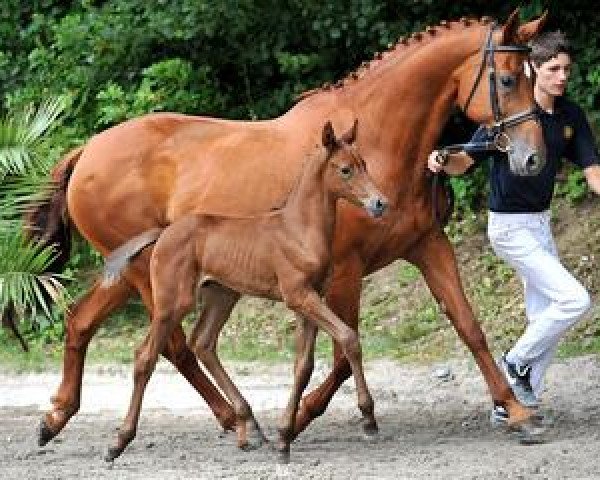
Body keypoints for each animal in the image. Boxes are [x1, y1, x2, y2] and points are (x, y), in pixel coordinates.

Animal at [105, 120, 390, 462]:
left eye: (365, 164)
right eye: (345, 169)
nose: (380, 203)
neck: (299, 231)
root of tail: (163, 234)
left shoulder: (309, 301)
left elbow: (303, 366)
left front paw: (284, 436)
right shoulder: (299, 296)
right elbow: (349, 338)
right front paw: (369, 418)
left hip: (221, 295)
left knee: (203, 343)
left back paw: (250, 426)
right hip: (172, 303)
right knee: (145, 357)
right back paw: (118, 442)